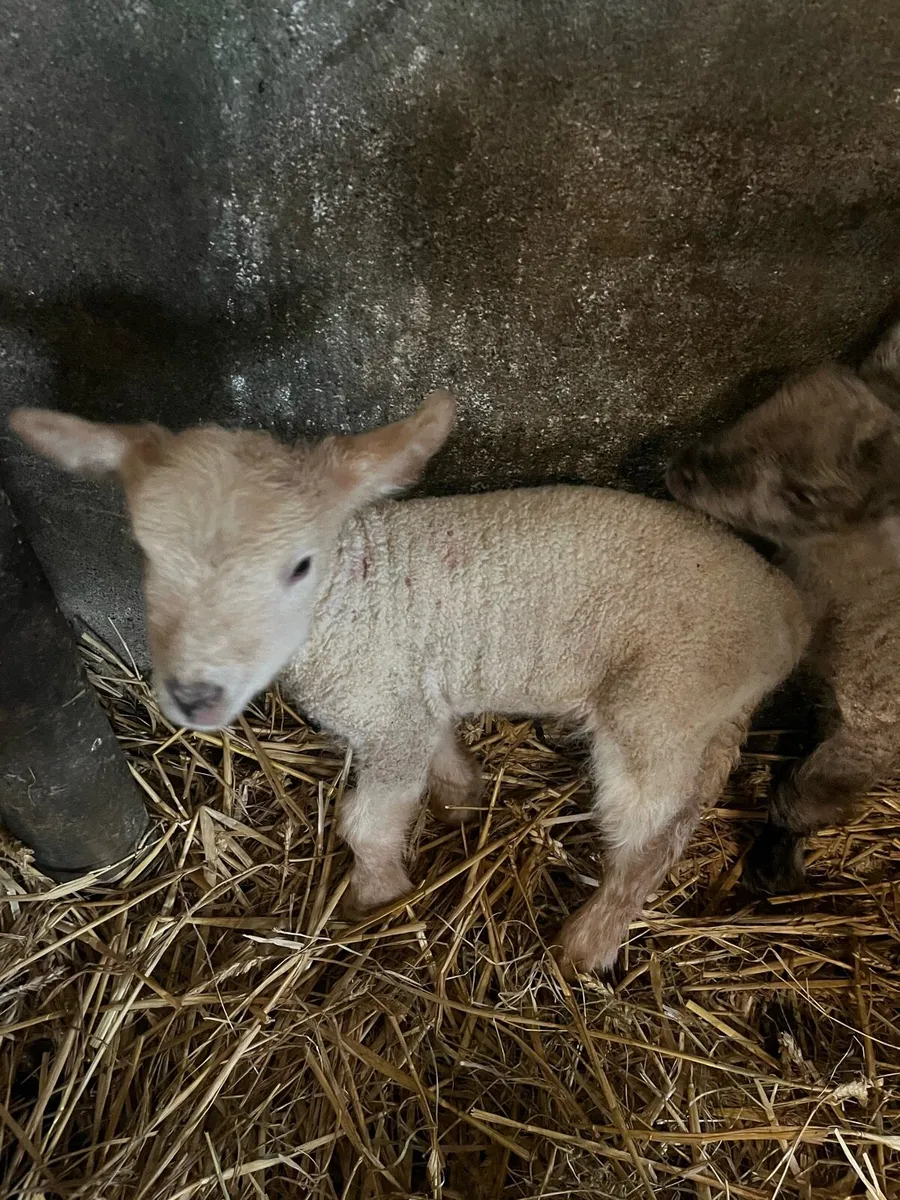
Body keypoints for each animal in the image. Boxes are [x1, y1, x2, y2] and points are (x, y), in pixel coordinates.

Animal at [9, 392, 808, 973]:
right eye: (146, 554)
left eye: (299, 565)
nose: (194, 694)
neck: (349, 594)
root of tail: (787, 610)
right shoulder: (414, 697)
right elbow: (441, 755)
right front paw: (462, 799)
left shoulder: (388, 714)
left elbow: (368, 820)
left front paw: (379, 898)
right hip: (709, 707)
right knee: (686, 810)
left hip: (659, 700)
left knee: (646, 829)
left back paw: (588, 943)